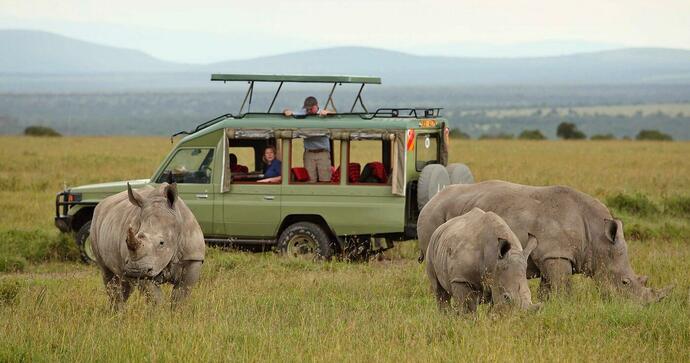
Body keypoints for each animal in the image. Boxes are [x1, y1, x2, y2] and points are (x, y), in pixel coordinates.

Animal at [416, 181, 668, 304]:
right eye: (625, 283)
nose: (642, 308)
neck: (597, 237)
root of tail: (432, 199)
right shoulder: (556, 255)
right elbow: (563, 288)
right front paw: (567, 309)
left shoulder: (551, 256)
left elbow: (549, 289)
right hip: (434, 218)